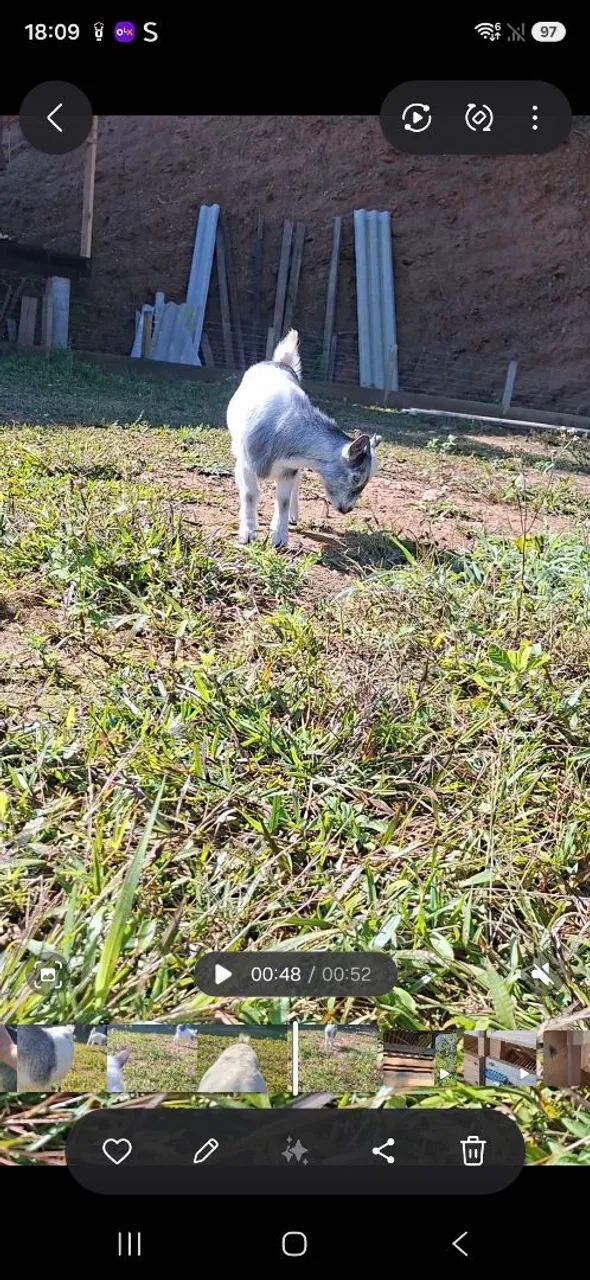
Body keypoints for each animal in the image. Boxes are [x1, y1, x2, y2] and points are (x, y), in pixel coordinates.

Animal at [227, 329, 382, 549]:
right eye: (356, 477)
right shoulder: (249, 464)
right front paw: (248, 534)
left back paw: (293, 516)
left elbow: (283, 500)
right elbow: (249, 495)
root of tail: (279, 363)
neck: (283, 430)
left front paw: (280, 538)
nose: (348, 509)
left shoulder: (289, 470)